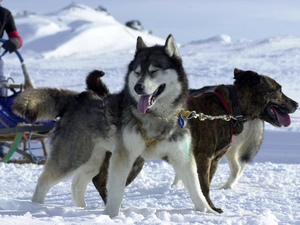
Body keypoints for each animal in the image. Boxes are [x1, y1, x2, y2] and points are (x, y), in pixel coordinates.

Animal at [89, 68, 298, 213]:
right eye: (278, 89)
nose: (296, 104)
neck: (228, 107)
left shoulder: (214, 160)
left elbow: (205, 186)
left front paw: (209, 207)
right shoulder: (204, 157)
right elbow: (204, 187)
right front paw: (211, 209)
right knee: (101, 180)